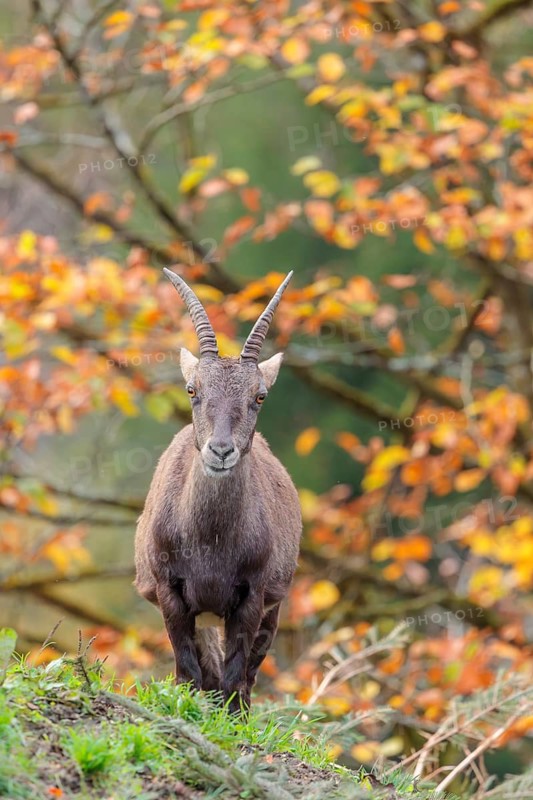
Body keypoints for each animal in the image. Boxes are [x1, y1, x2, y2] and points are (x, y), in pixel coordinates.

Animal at [134, 269, 302, 712]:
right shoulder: (169, 589)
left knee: (247, 675)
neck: (210, 541)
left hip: (270, 607)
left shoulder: (252, 595)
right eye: (192, 389)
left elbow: (236, 677)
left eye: (259, 396)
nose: (221, 450)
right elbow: (188, 670)